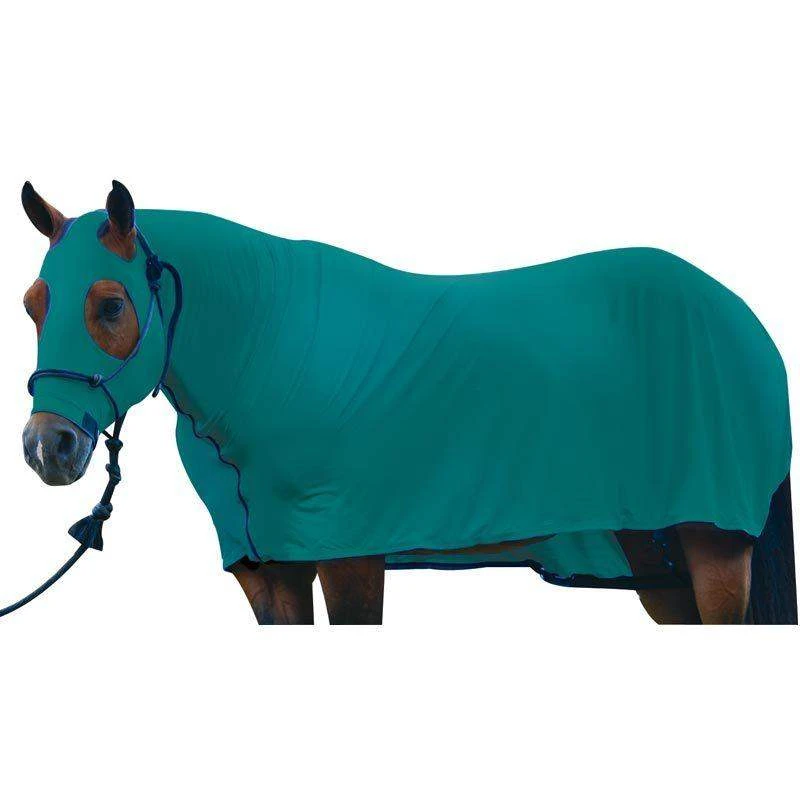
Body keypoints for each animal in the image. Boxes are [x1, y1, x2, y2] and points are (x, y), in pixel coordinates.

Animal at [19, 181, 796, 624]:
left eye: (111, 304)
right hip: (650, 552)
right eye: (32, 303)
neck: (272, 351)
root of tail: (741, 318)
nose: (46, 447)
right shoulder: (267, 571)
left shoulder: (350, 554)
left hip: (715, 547)